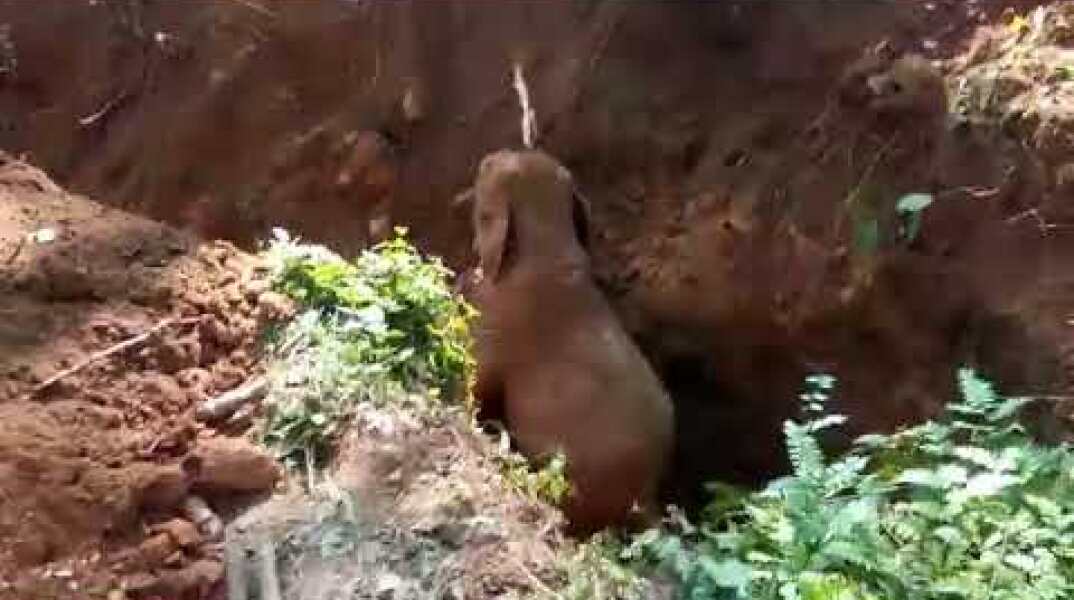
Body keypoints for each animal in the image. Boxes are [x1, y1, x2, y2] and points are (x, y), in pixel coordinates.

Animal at [467, 148, 674, 534]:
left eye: (490, 168)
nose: (486, 156)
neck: (548, 241)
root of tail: (646, 499)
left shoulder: (496, 328)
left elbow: (476, 381)